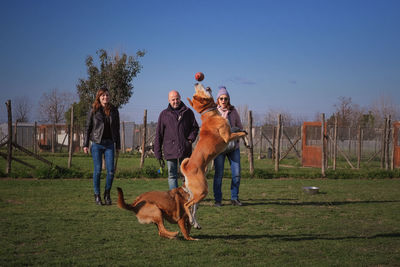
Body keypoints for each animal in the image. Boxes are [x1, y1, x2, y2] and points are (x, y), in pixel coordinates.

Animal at [181, 83, 247, 228]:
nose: (196, 83)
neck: (210, 114)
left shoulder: (230, 130)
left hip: (197, 193)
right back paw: (191, 221)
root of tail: (186, 170)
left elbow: (239, 129)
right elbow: (240, 133)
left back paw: (195, 223)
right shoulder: (228, 137)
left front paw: (246, 139)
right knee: (187, 205)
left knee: (193, 207)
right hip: (202, 191)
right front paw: (245, 137)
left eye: (196, 92)